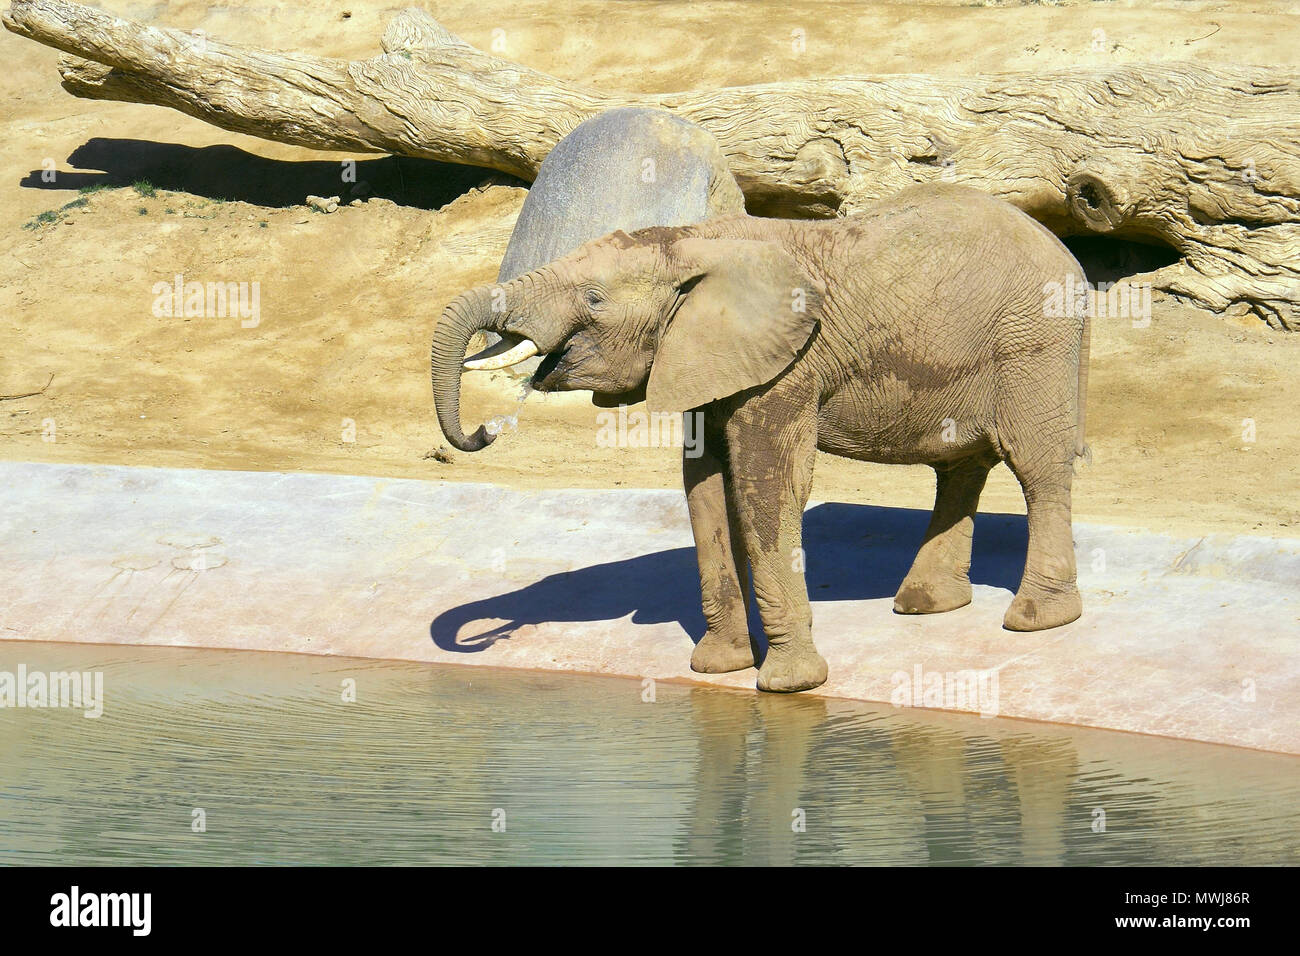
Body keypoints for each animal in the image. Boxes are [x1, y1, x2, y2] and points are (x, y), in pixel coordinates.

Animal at [431, 183, 1092, 691]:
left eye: (593, 300)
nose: (485, 430)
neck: (694, 238)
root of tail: (1069, 258)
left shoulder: (788, 364)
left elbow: (767, 484)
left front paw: (789, 684)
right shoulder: (707, 356)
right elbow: (703, 488)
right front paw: (718, 668)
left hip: (1033, 342)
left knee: (1037, 468)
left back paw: (1037, 619)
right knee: (960, 467)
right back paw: (926, 604)